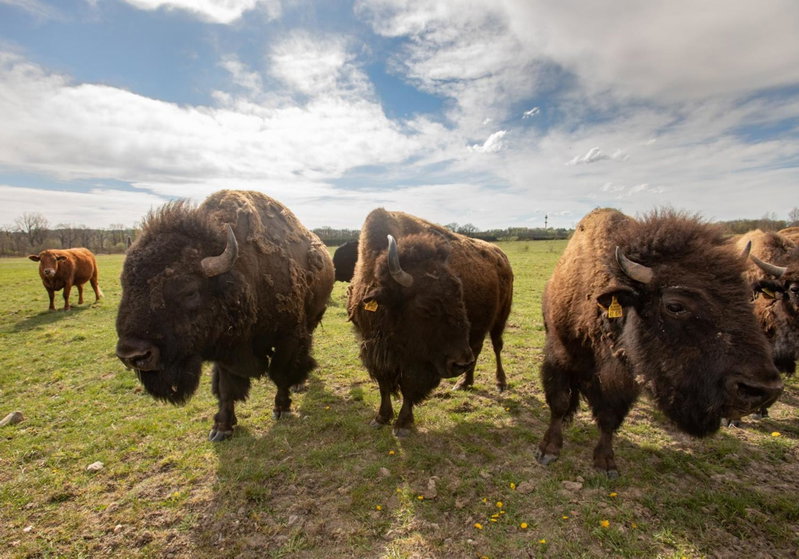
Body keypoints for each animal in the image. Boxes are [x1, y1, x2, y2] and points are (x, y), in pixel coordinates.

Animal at [116, 190, 334, 441]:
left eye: (189, 290)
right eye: (125, 285)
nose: (132, 355)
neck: (242, 274)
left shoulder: (287, 337)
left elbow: (280, 374)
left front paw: (282, 409)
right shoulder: (225, 348)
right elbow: (226, 388)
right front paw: (221, 428)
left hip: (311, 320)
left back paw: (299, 384)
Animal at [347, 208, 513, 436]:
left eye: (460, 295)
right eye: (426, 306)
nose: (459, 363)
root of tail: (501, 255)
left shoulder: (419, 360)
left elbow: (409, 386)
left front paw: (402, 425)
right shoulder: (373, 348)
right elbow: (384, 384)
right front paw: (381, 418)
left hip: (499, 318)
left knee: (497, 346)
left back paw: (500, 382)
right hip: (477, 332)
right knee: (477, 350)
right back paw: (464, 383)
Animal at [538, 209, 783, 476]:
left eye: (749, 297)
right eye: (675, 305)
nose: (762, 389)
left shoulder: (624, 380)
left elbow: (609, 418)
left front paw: (606, 463)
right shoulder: (560, 358)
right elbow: (560, 403)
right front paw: (548, 451)